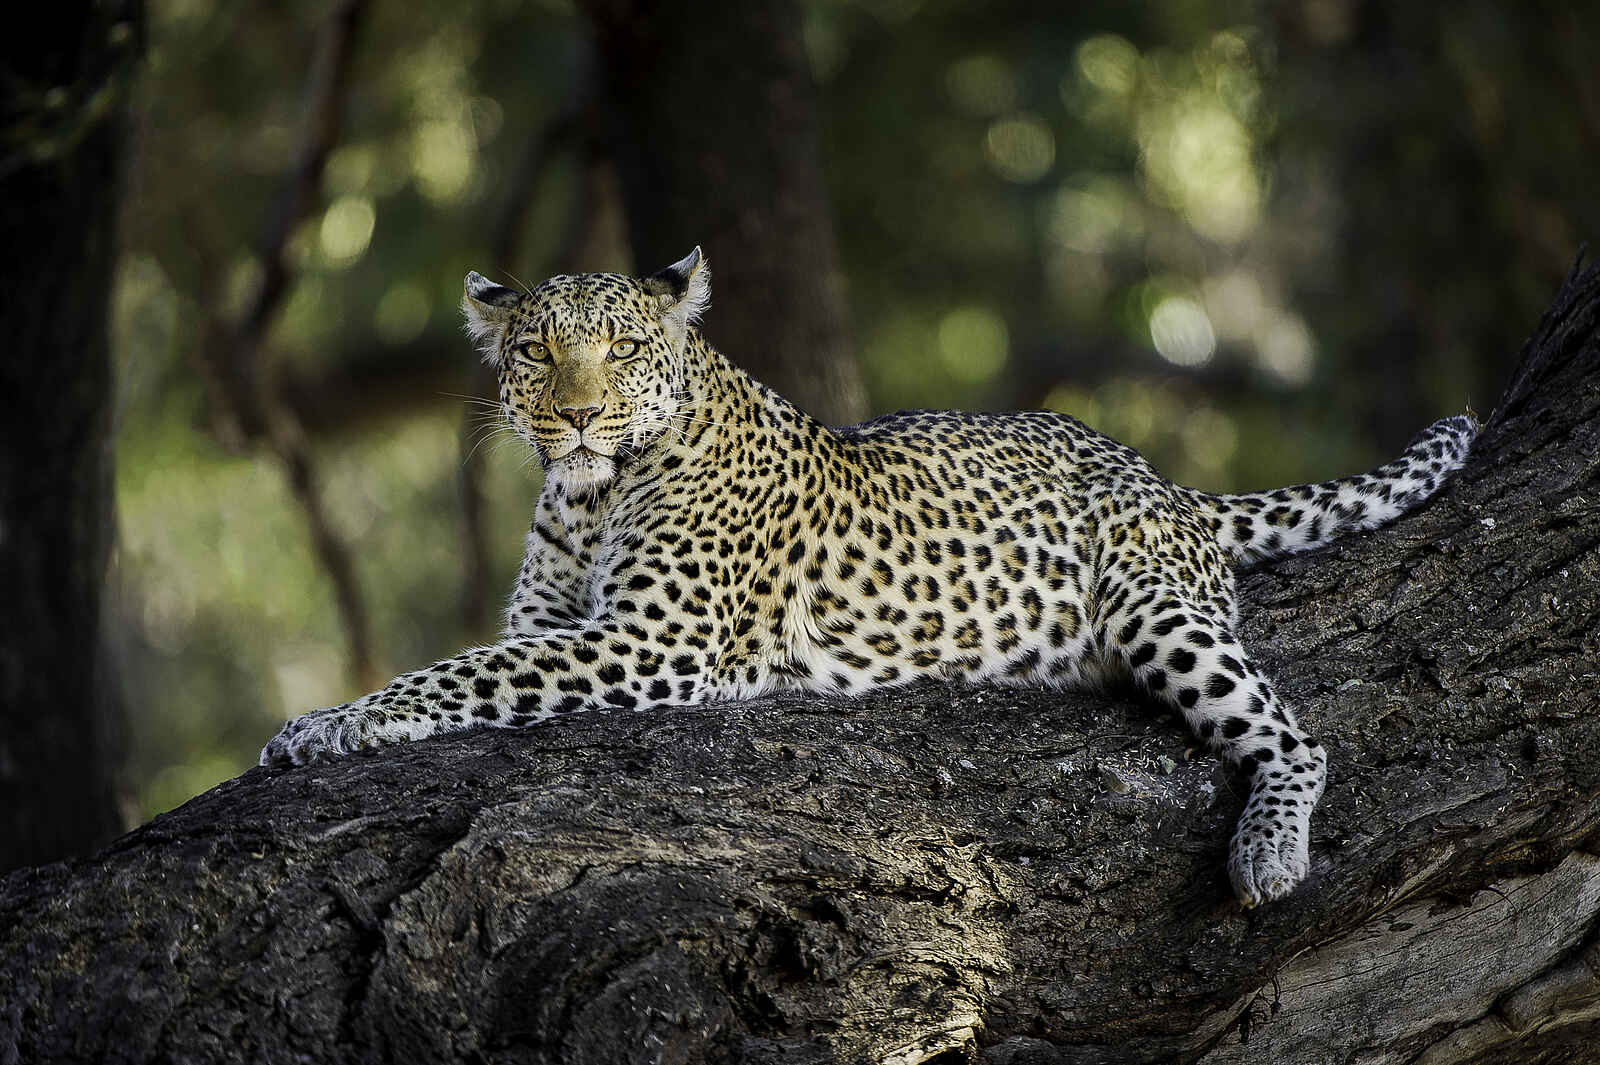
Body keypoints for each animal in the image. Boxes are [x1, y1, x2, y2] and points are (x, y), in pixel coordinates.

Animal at [260, 247, 1478, 906]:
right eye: (536, 351)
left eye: (621, 349)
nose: (578, 415)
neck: (589, 495)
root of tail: (1163, 478)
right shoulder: (555, 623)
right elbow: (476, 660)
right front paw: (325, 717)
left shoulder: (651, 643)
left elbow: (458, 674)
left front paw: (331, 724)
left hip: (1154, 604)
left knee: (1295, 737)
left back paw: (1267, 852)